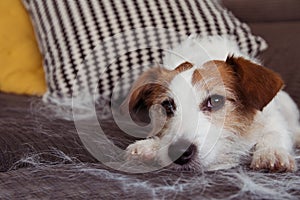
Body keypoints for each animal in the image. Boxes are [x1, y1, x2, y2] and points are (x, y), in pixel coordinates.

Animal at [120, 36, 300, 172]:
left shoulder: (271, 118)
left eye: (215, 101)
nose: (179, 152)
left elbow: (274, 132)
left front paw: (271, 152)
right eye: (167, 106)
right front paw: (151, 146)